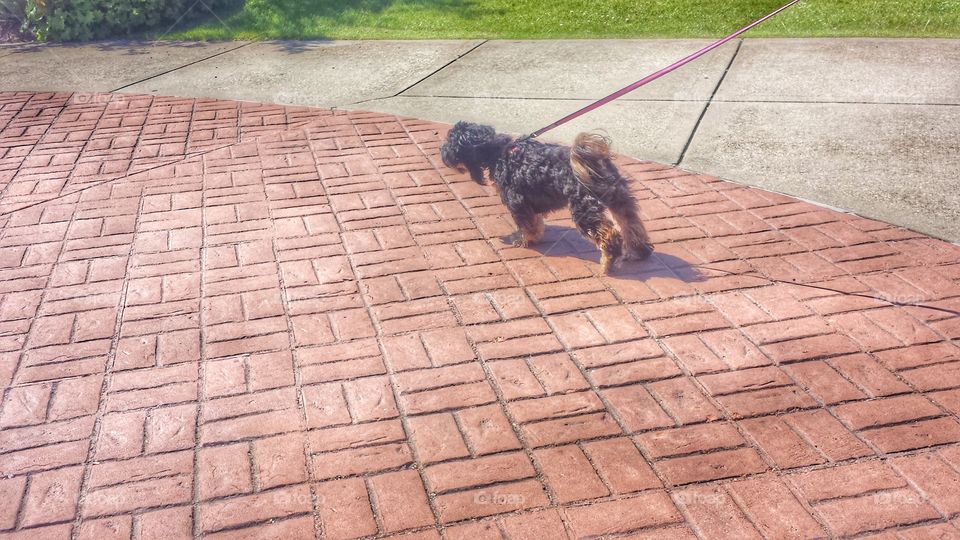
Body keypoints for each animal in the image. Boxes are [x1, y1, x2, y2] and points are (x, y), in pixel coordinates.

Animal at [440, 122, 652, 274]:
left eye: (451, 142)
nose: (441, 150)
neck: (499, 153)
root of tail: (595, 163)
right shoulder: (528, 203)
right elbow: (536, 222)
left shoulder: (517, 202)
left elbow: (527, 225)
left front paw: (523, 239)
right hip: (619, 200)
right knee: (632, 226)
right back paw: (639, 251)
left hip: (584, 209)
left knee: (610, 235)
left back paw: (608, 262)